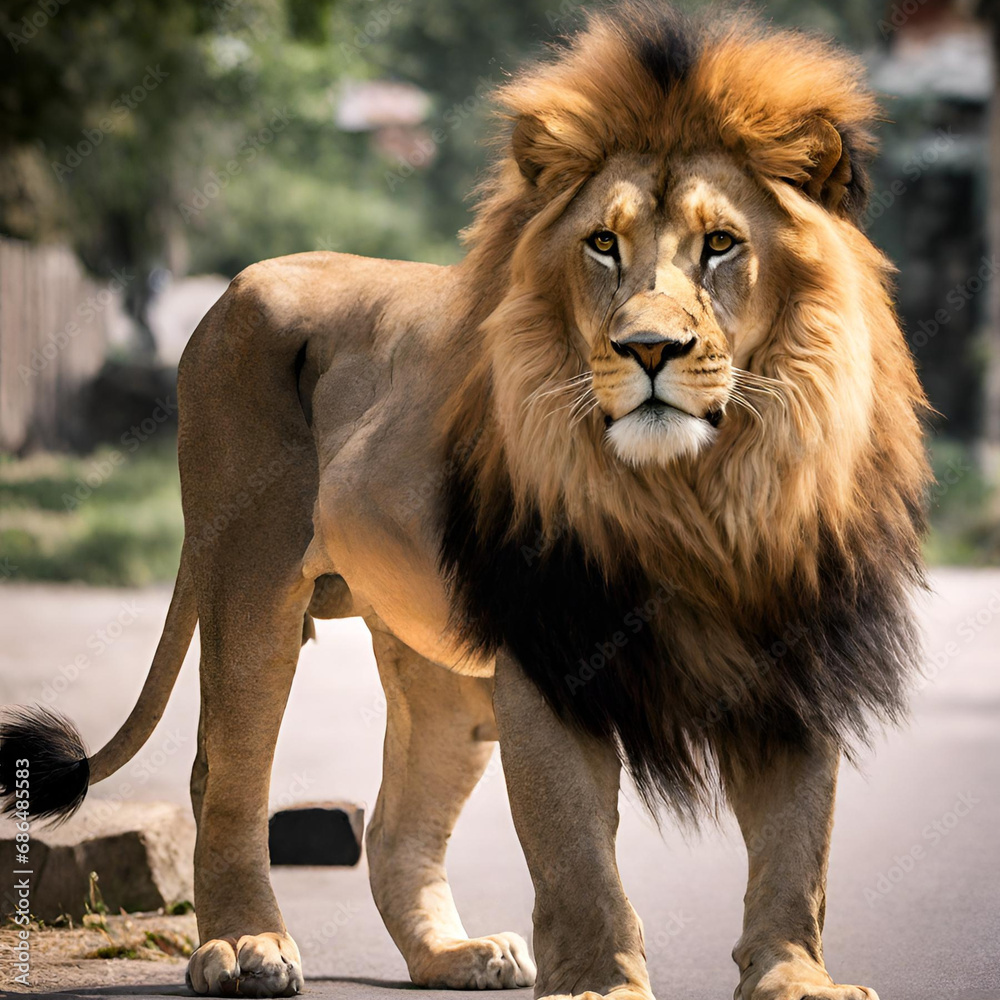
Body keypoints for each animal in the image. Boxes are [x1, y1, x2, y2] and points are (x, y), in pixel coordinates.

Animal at [0, 5, 929, 1000]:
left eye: (721, 245)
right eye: (603, 243)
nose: (647, 349)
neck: (697, 496)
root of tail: (233, 288)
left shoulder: (801, 658)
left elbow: (798, 855)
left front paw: (799, 979)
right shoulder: (549, 653)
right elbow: (575, 852)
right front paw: (599, 983)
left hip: (436, 670)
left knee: (394, 828)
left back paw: (454, 955)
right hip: (247, 574)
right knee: (224, 775)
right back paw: (245, 945)